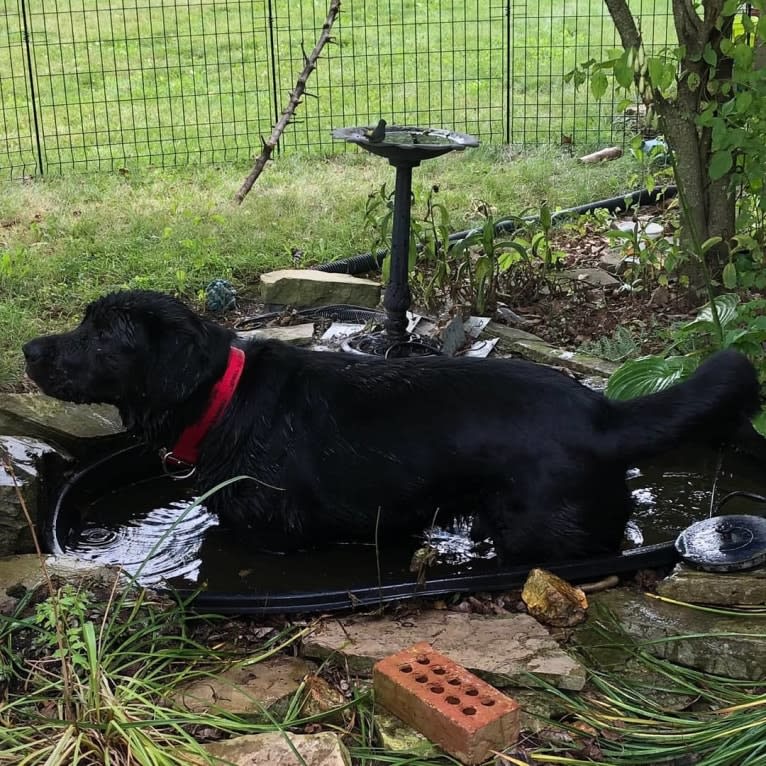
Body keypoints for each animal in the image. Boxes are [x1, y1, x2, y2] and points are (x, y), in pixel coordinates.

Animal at [22, 292, 760, 568]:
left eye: (101, 334)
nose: (29, 349)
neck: (222, 398)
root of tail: (604, 413)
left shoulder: (267, 529)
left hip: (541, 532)